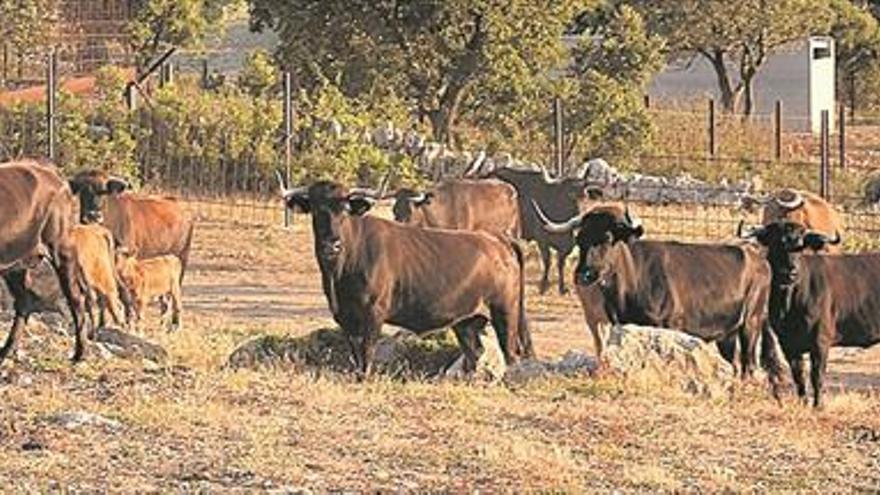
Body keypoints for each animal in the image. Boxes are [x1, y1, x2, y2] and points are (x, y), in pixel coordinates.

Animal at [0, 161, 89, 362]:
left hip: (61, 249)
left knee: (76, 297)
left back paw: (80, 353)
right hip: (16, 264)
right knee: (24, 300)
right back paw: (6, 350)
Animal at [740, 223, 876, 408]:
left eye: (801, 246)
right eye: (776, 243)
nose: (790, 273)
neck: (789, 302)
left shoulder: (820, 342)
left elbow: (817, 375)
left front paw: (818, 405)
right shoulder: (787, 344)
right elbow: (798, 375)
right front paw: (803, 402)